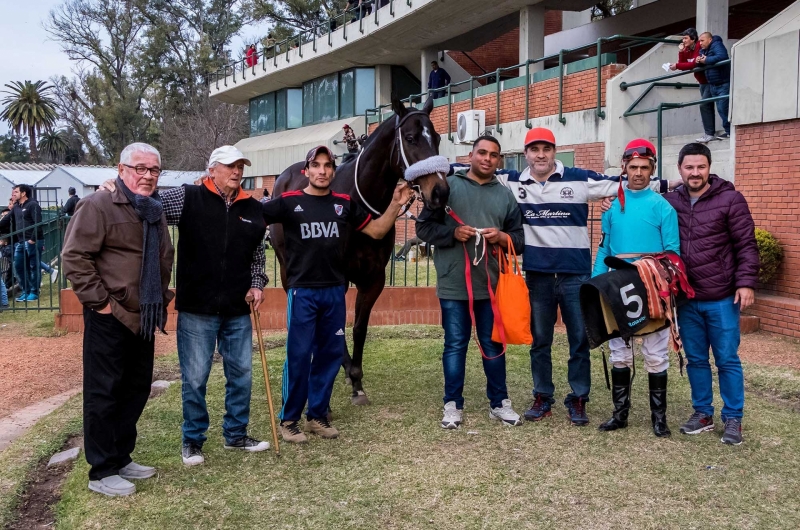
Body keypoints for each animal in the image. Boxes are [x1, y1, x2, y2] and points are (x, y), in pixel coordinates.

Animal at [272, 95, 450, 402]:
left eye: (437, 137)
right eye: (411, 138)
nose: (440, 192)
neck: (360, 201)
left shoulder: (374, 277)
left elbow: (359, 327)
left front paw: (355, 378)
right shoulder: (338, 279)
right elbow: (336, 326)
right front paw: (346, 371)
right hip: (287, 268)